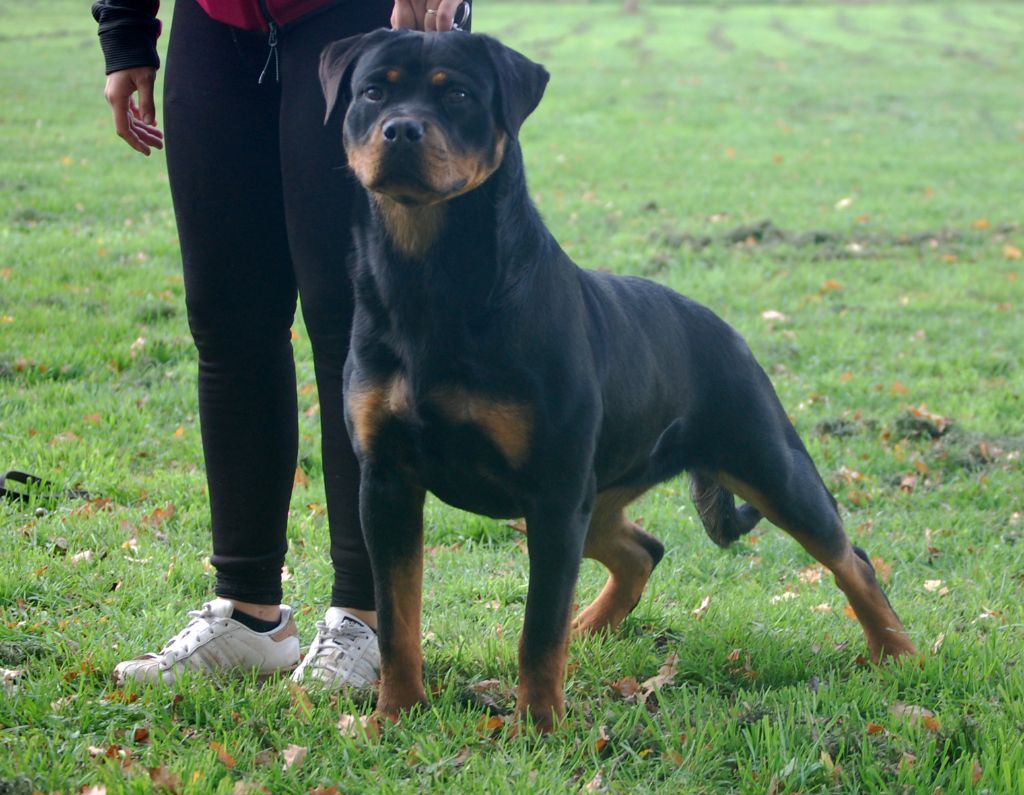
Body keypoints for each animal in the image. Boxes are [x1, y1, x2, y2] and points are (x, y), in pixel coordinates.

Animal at [319, 30, 921, 733]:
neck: (428, 279)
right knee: (642, 550)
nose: (401, 129)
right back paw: (590, 627)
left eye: (459, 95)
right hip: (600, 493)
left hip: (765, 462)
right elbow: (397, 617)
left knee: (849, 557)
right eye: (373, 91)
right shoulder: (387, 481)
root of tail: (726, 329)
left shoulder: (552, 490)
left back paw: (900, 654)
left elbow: (537, 628)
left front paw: (538, 727)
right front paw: (395, 714)